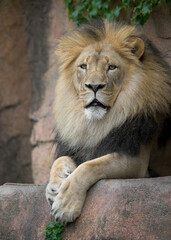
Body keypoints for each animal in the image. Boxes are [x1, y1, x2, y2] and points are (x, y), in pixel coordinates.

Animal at [45, 20, 171, 223]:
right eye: (83, 66)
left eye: (111, 67)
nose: (94, 86)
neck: (96, 125)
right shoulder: (80, 146)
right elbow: (60, 159)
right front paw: (54, 187)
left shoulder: (135, 159)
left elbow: (90, 166)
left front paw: (66, 204)